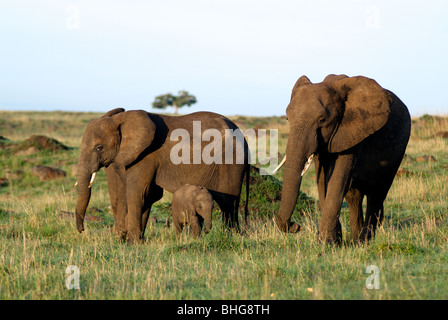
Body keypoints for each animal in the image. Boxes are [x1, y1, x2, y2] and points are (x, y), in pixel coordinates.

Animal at [73, 107, 248, 242]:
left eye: (99, 147)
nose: (82, 230)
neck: (120, 120)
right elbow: (144, 195)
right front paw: (133, 241)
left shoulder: (146, 156)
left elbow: (137, 192)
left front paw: (132, 243)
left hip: (231, 161)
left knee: (228, 203)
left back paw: (229, 236)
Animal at [272, 74, 410, 242]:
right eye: (287, 118)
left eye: (322, 121)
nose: (296, 226)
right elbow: (322, 179)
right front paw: (334, 241)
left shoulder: (354, 130)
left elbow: (338, 177)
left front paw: (326, 242)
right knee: (354, 196)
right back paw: (355, 238)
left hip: (398, 152)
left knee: (377, 194)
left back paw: (364, 241)